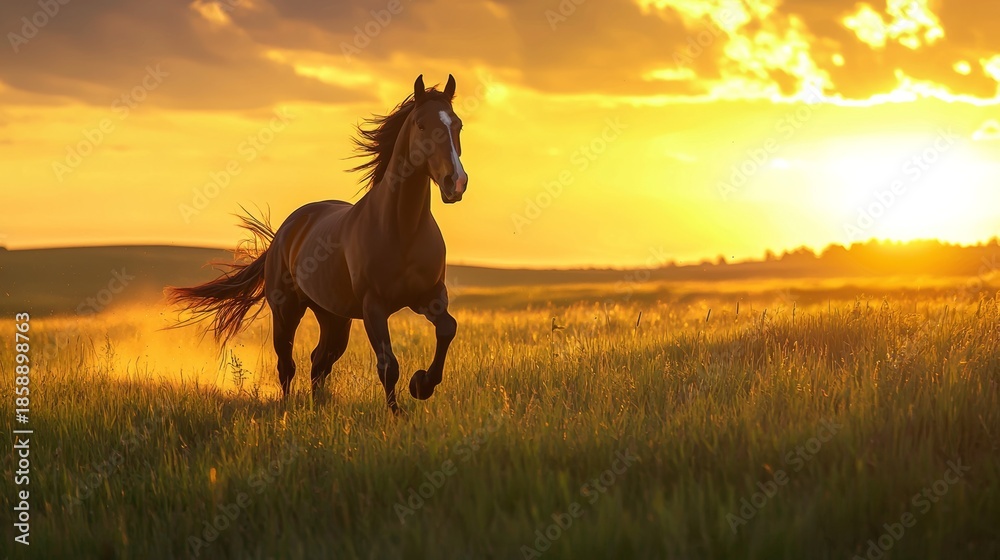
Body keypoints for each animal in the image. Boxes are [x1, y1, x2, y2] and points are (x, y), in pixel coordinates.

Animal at [167, 74, 468, 414]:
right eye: (420, 124)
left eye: (457, 124)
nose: (456, 182)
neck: (403, 229)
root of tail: (285, 231)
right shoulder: (374, 306)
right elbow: (388, 365)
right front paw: (399, 413)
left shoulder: (430, 296)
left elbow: (447, 328)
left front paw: (422, 384)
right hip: (287, 310)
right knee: (288, 364)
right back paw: (288, 409)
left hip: (333, 317)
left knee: (320, 360)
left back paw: (318, 405)